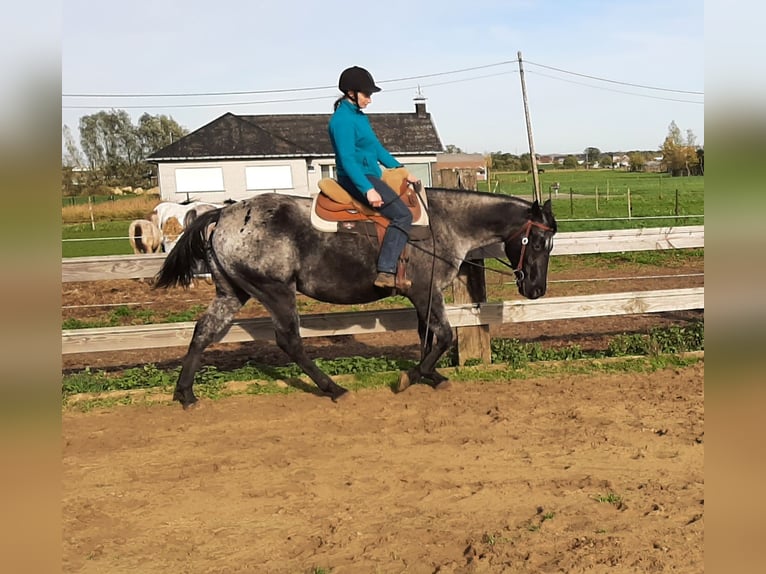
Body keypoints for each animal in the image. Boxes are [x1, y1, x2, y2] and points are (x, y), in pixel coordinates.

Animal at [154, 188, 560, 410]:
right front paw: (414, 376)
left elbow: (427, 336)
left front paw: (430, 375)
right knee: (290, 342)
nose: (536, 290)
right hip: (276, 291)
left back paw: (186, 393)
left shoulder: (423, 297)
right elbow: (443, 336)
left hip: (232, 292)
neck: (444, 223)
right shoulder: (425, 291)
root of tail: (223, 214)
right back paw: (334, 388)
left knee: (204, 332)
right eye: (539, 241)